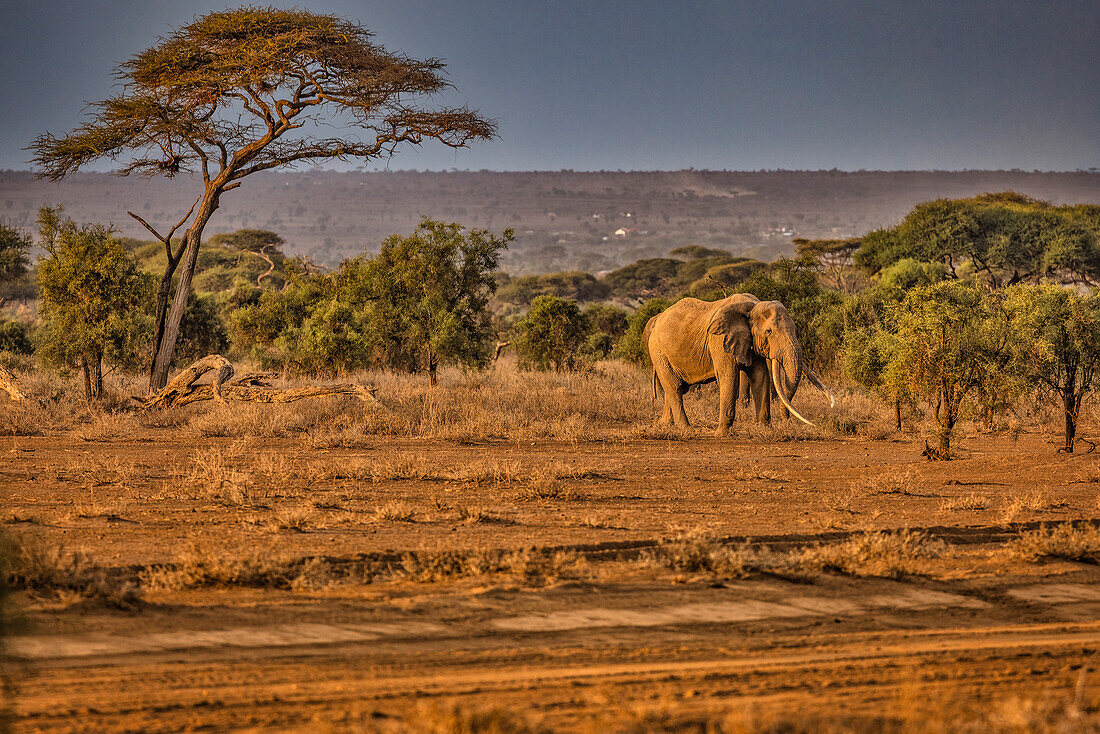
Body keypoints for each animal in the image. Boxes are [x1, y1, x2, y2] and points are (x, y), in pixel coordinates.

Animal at [642, 294, 831, 435]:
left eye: (796, 329)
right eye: (769, 331)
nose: (786, 423)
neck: (752, 306)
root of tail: (657, 319)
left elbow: (760, 377)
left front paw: (765, 430)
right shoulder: (719, 340)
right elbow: (729, 377)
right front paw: (721, 434)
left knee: (677, 388)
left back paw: (665, 425)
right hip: (658, 352)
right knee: (674, 388)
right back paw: (686, 429)